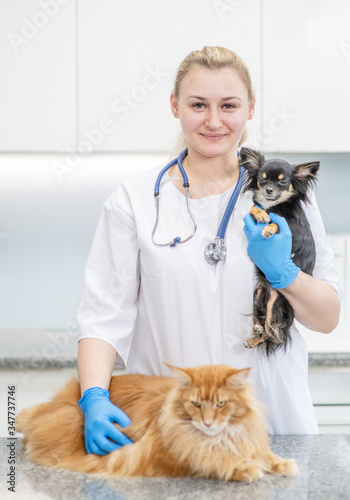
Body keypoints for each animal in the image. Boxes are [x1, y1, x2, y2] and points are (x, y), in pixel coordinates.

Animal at [15, 366, 296, 482]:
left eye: (220, 404)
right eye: (196, 404)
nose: (207, 422)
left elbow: (265, 454)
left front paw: (282, 464)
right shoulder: (165, 456)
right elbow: (213, 462)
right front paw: (244, 469)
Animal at [239, 147, 318, 356]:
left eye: (282, 181)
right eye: (262, 179)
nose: (268, 190)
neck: (273, 205)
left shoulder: (293, 227)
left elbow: (278, 222)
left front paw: (268, 229)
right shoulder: (255, 210)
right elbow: (253, 209)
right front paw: (261, 215)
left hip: (275, 304)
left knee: (273, 332)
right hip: (257, 295)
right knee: (262, 324)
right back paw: (254, 333)